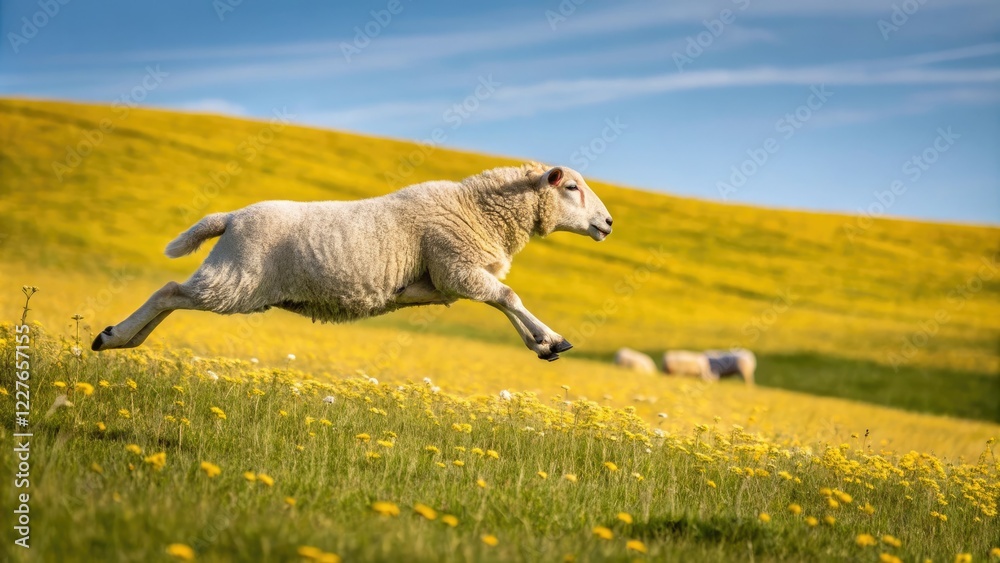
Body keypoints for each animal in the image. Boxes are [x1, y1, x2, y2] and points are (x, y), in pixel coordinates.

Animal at [91, 163, 614, 361]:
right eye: (572, 187)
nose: (608, 223)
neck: (477, 208)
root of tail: (232, 217)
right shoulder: (456, 267)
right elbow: (508, 295)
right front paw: (551, 338)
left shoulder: (446, 281)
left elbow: (501, 301)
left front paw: (541, 343)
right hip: (235, 281)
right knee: (169, 291)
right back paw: (114, 336)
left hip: (234, 285)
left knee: (174, 298)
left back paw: (128, 340)